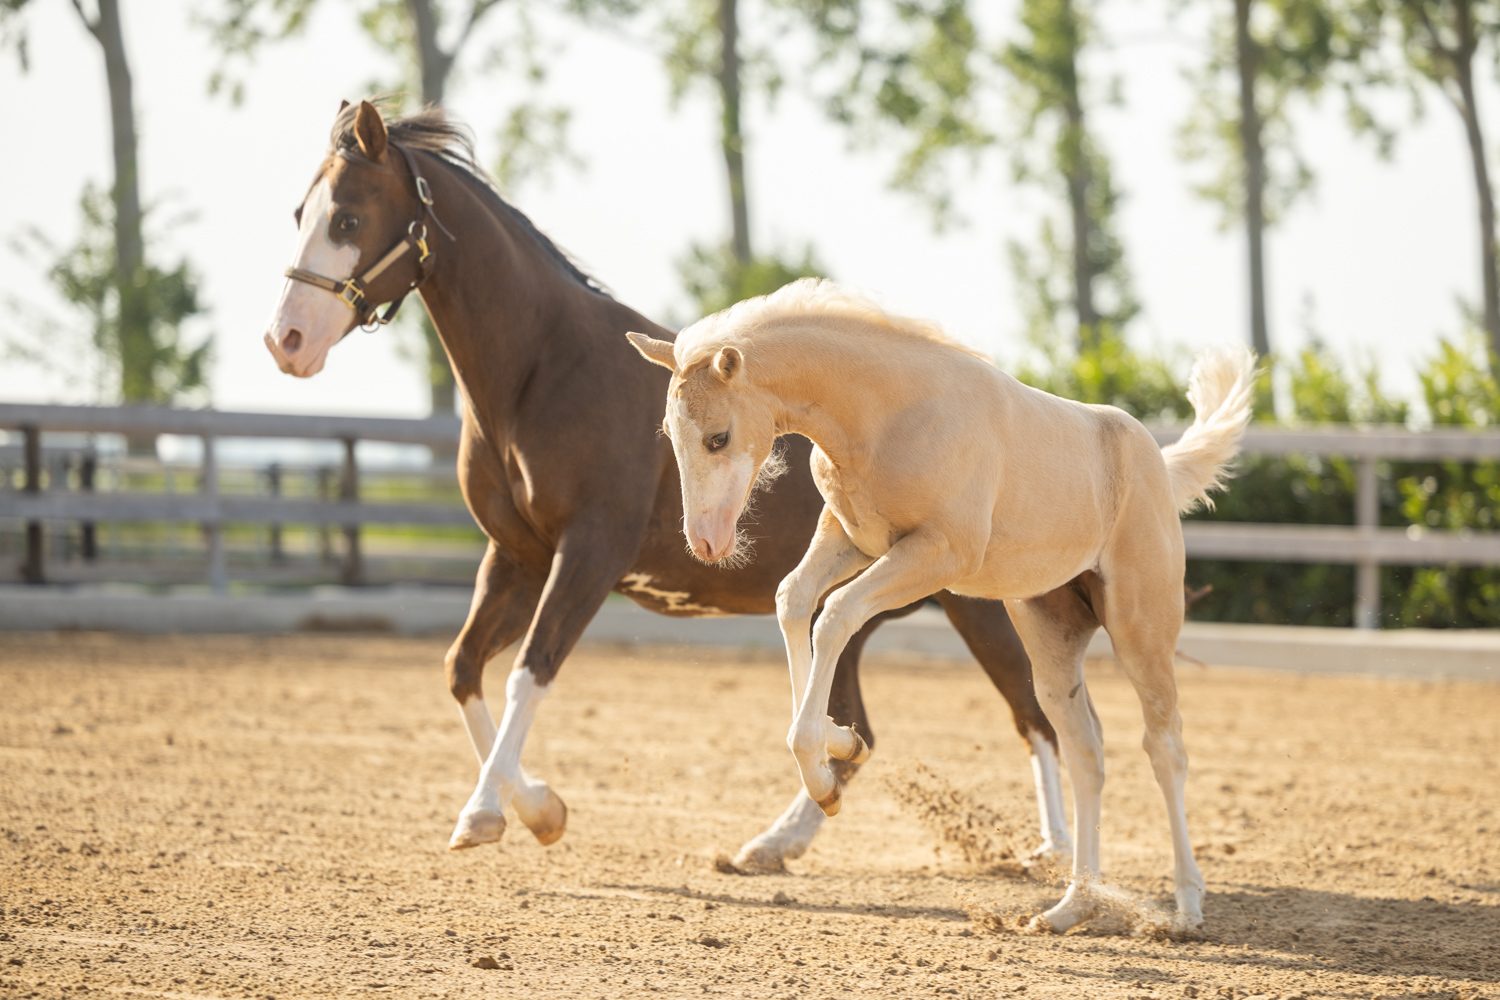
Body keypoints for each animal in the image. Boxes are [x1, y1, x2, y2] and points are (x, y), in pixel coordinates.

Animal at [260, 100, 1071, 871]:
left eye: (348, 216)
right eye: (300, 215)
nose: (286, 341)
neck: (542, 377)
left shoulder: (588, 554)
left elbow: (530, 671)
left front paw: (502, 813)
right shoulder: (516, 557)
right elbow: (462, 669)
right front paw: (524, 811)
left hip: (975, 602)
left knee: (1032, 713)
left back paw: (1056, 853)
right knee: (858, 726)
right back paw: (774, 843)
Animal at [627, 279, 1255, 932]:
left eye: (718, 437)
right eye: (671, 437)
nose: (706, 543)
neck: (888, 412)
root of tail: (1157, 463)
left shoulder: (936, 554)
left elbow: (836, 615)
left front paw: (825, 777)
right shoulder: (851, 539)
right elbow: (793, 602)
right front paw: (840, 743)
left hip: (1140, 626)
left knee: (1165, 746)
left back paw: (1186, 906)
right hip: (1048, 630)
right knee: (1085, 747)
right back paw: (1071, 907)